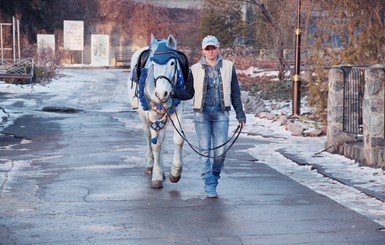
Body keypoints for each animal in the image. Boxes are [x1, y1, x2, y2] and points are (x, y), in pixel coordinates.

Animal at [127, 34, 188, 188]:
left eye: (172, 63)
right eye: (153, 65)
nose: (162, 93)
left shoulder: (178, 111)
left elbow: (178, 140)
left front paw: (175, 173)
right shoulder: (152, 115)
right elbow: (156, 145)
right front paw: (157, 176)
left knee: (162, 137)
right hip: (143, 115)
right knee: (149, 136)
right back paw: (151, 165)